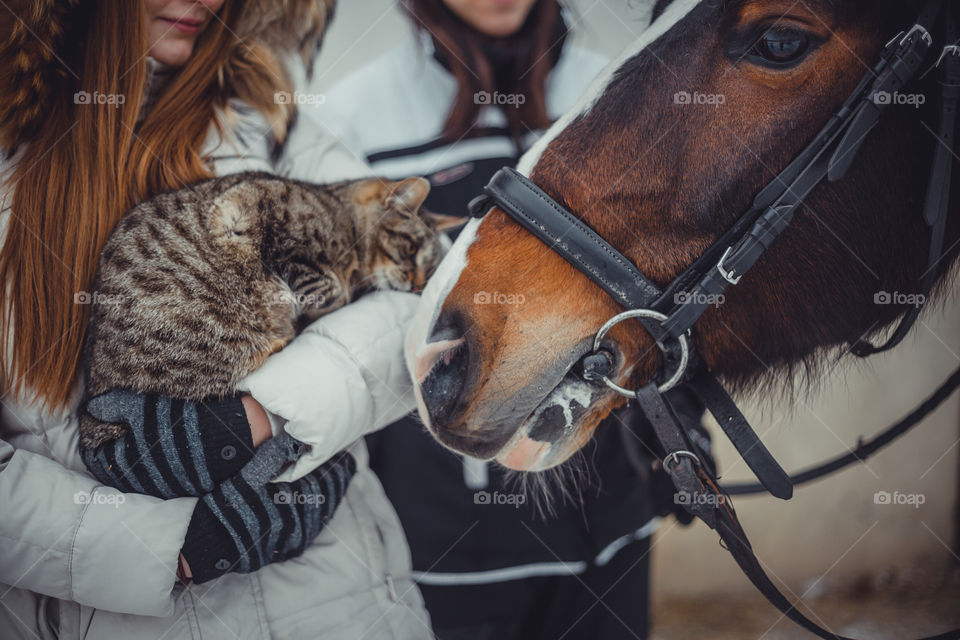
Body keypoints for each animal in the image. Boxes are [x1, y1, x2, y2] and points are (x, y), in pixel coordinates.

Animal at [80, 172, 460, 448]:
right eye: (410, 250)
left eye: (429, 272)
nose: (416, 285)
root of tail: (94, 385)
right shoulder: (270, 229)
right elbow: (326, 287)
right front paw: (333, 296)